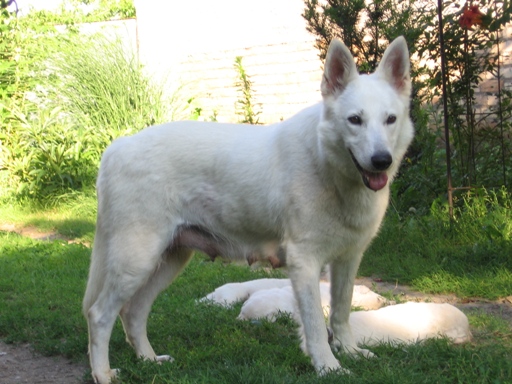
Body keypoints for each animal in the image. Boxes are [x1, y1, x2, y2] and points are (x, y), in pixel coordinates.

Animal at [82, 36, 414, 384]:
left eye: (390, 119)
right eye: (355, 120)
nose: (382, 160)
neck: (328, 166)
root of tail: (118, 146)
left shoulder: (348, 261)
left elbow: (340, 313)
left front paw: (350, 352)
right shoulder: (305, 263)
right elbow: (315, 326)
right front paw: (328, 367)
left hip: (168, 260)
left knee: (133, 312)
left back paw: (149, 360)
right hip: (136, 261)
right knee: (99, 314)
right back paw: (103, 373)